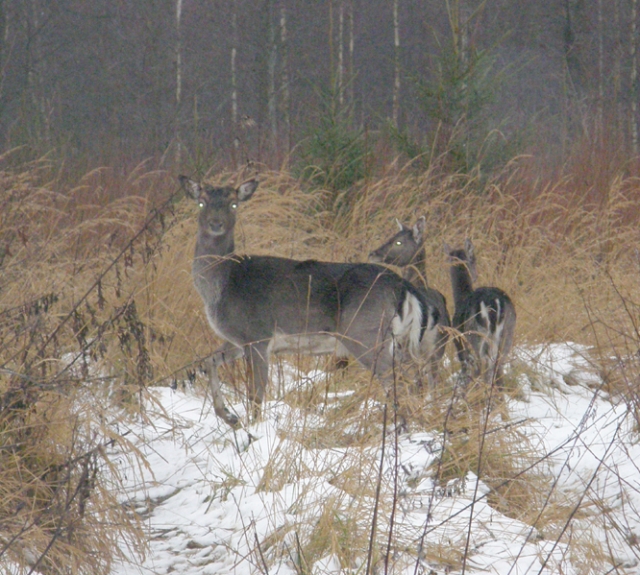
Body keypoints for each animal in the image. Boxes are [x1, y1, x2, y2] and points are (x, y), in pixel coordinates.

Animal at [182, 178, 438, 430]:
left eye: (234, 204)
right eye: (201, 202)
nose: (216, 224)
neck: (223, 285)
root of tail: (402, 285)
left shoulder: (258, 335)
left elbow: (256, 394)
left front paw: (252, 429)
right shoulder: (237, 340)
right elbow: (208, 361)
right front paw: (229, 416)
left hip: (364, 333)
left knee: (399, 380)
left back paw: (401, 428)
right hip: (395, 339)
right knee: (412, 376)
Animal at [444, 238, 516, 392]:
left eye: (474, 259)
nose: (476, 275)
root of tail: (495, 304)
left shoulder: (458, 338)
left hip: (476, 335)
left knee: (480, 366)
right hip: (508, 332)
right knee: (498, 368)